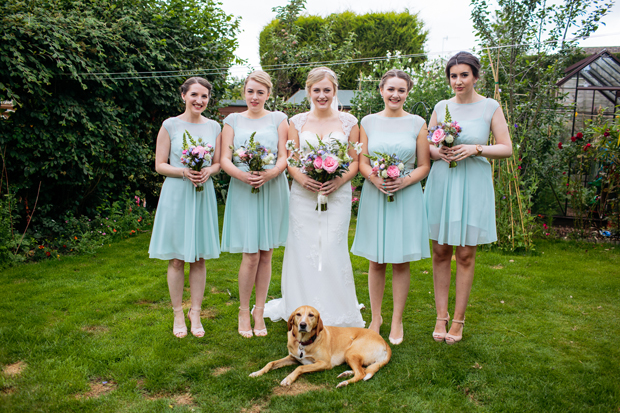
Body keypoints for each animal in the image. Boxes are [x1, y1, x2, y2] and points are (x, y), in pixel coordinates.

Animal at [248, 304, 390, 388]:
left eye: (311, 315)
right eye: (298, 314)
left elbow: (299, 368)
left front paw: (288, 379)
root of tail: (385, 343)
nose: (303, 325)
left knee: (361, 373)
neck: (303, 342)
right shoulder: (293, 358)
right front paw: (257, 373)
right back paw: (346, 374)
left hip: (350, 352)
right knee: (364, 370)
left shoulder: (324, 363)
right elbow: (271, 363)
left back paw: (344, 383)